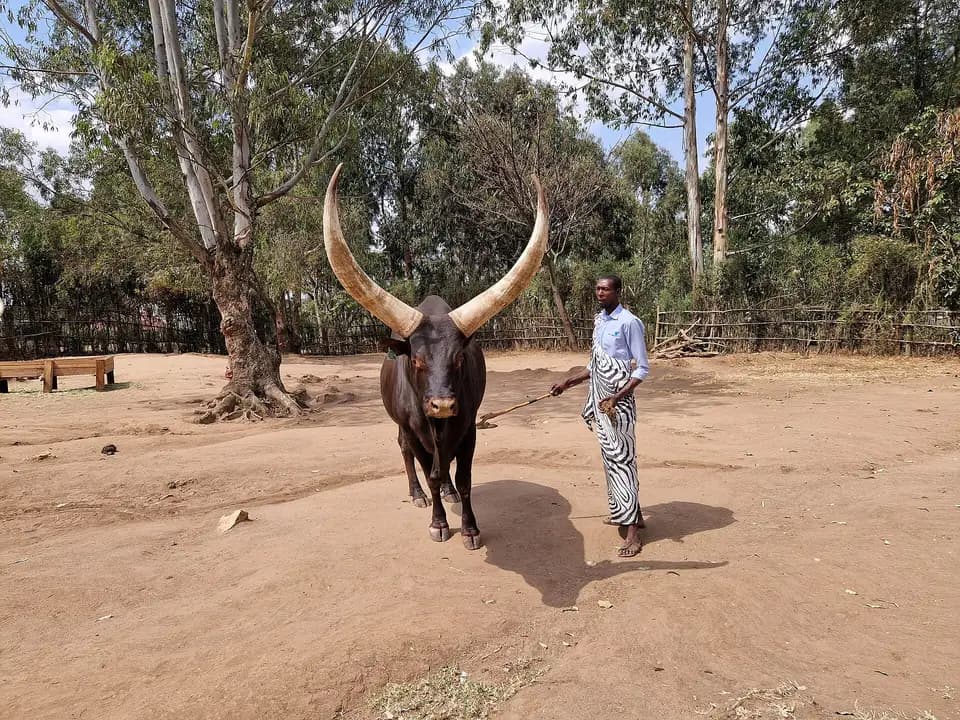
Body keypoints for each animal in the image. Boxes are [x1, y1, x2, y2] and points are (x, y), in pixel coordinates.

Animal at [322, 164, 549, 550]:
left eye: (459, 358)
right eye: (416, 360)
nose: (441, 405)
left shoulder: (468, 427)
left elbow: (466, 478)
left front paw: (469, 527)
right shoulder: (415, 430)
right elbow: (428, 471)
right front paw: (439, 523)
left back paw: (449, 490)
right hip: (401, 427)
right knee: (406, 452)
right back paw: (418, 494)